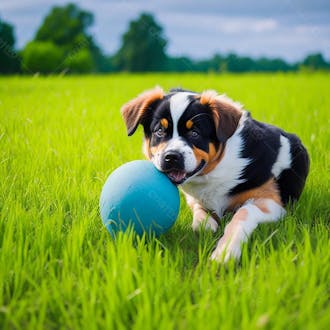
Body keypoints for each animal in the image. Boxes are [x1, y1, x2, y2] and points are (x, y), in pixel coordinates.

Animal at [120, 86, 310, 262]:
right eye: (159, 131)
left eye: (194, 133)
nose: (171, 157)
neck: (214, 171)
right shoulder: (195, 198)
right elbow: (200, 216)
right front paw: (207, 225)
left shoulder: (271, 202)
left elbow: (244, 213)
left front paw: (225, 251)